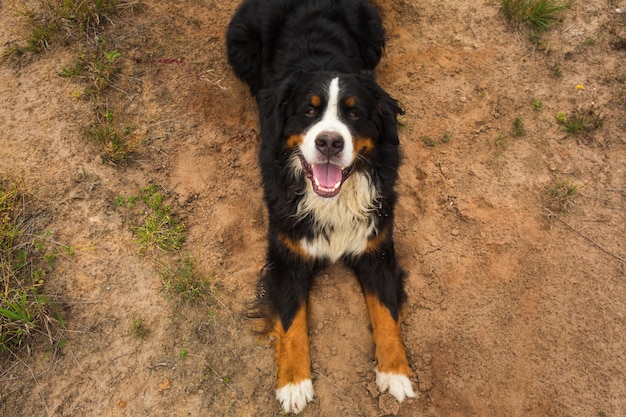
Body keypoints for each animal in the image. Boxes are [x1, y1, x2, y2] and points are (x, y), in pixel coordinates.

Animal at [225, 0, 414, 412]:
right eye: (308, 112)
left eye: (354, 113)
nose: (329, 142)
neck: (334, 199)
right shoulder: (287, 255)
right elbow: (292, 322)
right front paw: (294, 384)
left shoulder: (377, 249)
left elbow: (387, 314)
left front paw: (396, 372)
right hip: (240, 47)